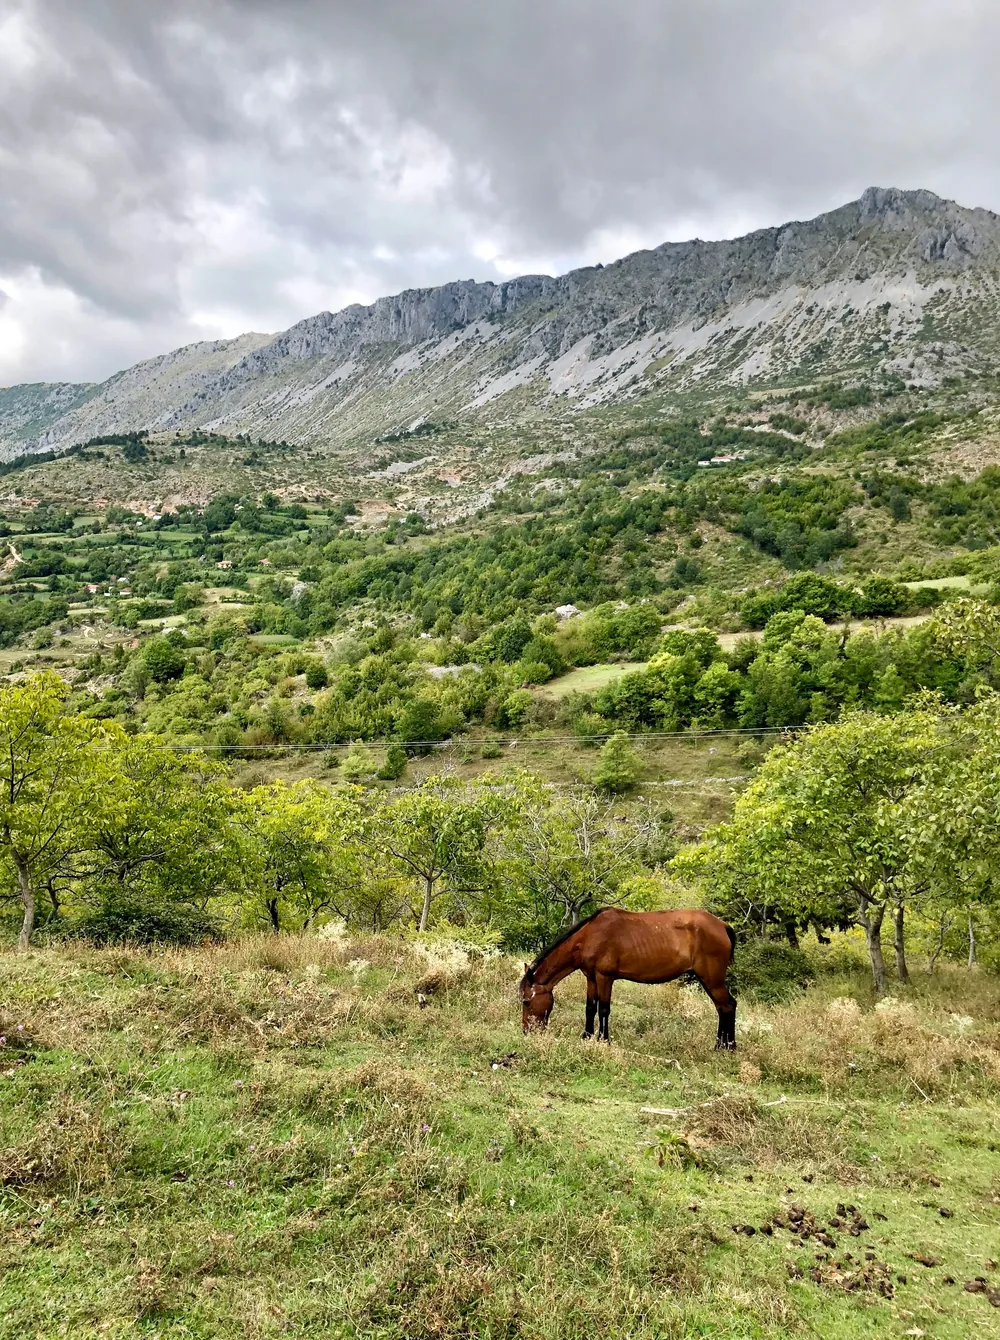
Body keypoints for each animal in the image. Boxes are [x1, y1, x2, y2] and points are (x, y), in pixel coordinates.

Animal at [519, 907, 738, 1048]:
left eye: (526, 1001)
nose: (526, 1031)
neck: (590, 936)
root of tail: (722, 926)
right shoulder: (591, 978)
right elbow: (590, 1008)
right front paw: (586, 1036)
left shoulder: (605, 977)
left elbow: (603, 1009)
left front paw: (604, 1039)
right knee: (722, 1007)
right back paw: (722, 1044)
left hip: (712, 979)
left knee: (728, 1006)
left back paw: (726, 1046)